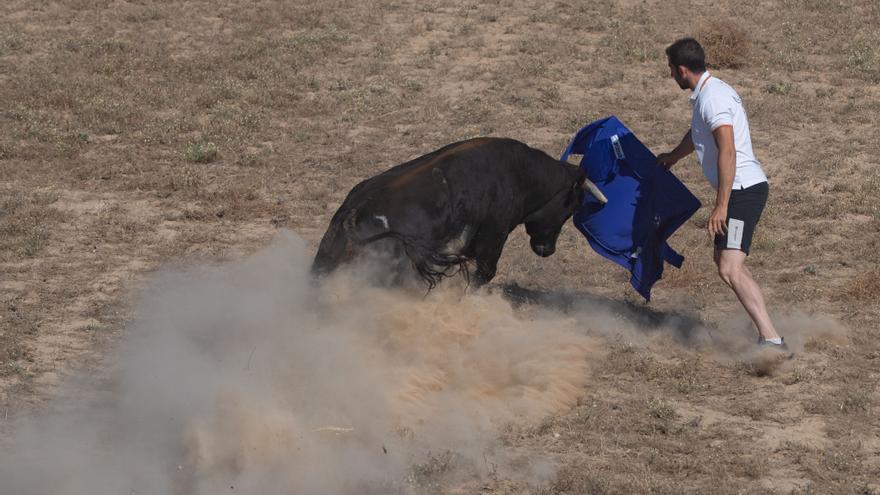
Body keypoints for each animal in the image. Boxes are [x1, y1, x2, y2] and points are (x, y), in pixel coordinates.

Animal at [312, 138, 608, 288]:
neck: (520, 173)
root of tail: (352, 213)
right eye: (570, 206)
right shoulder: (493, 235)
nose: (547, 250)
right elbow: (484, 273)